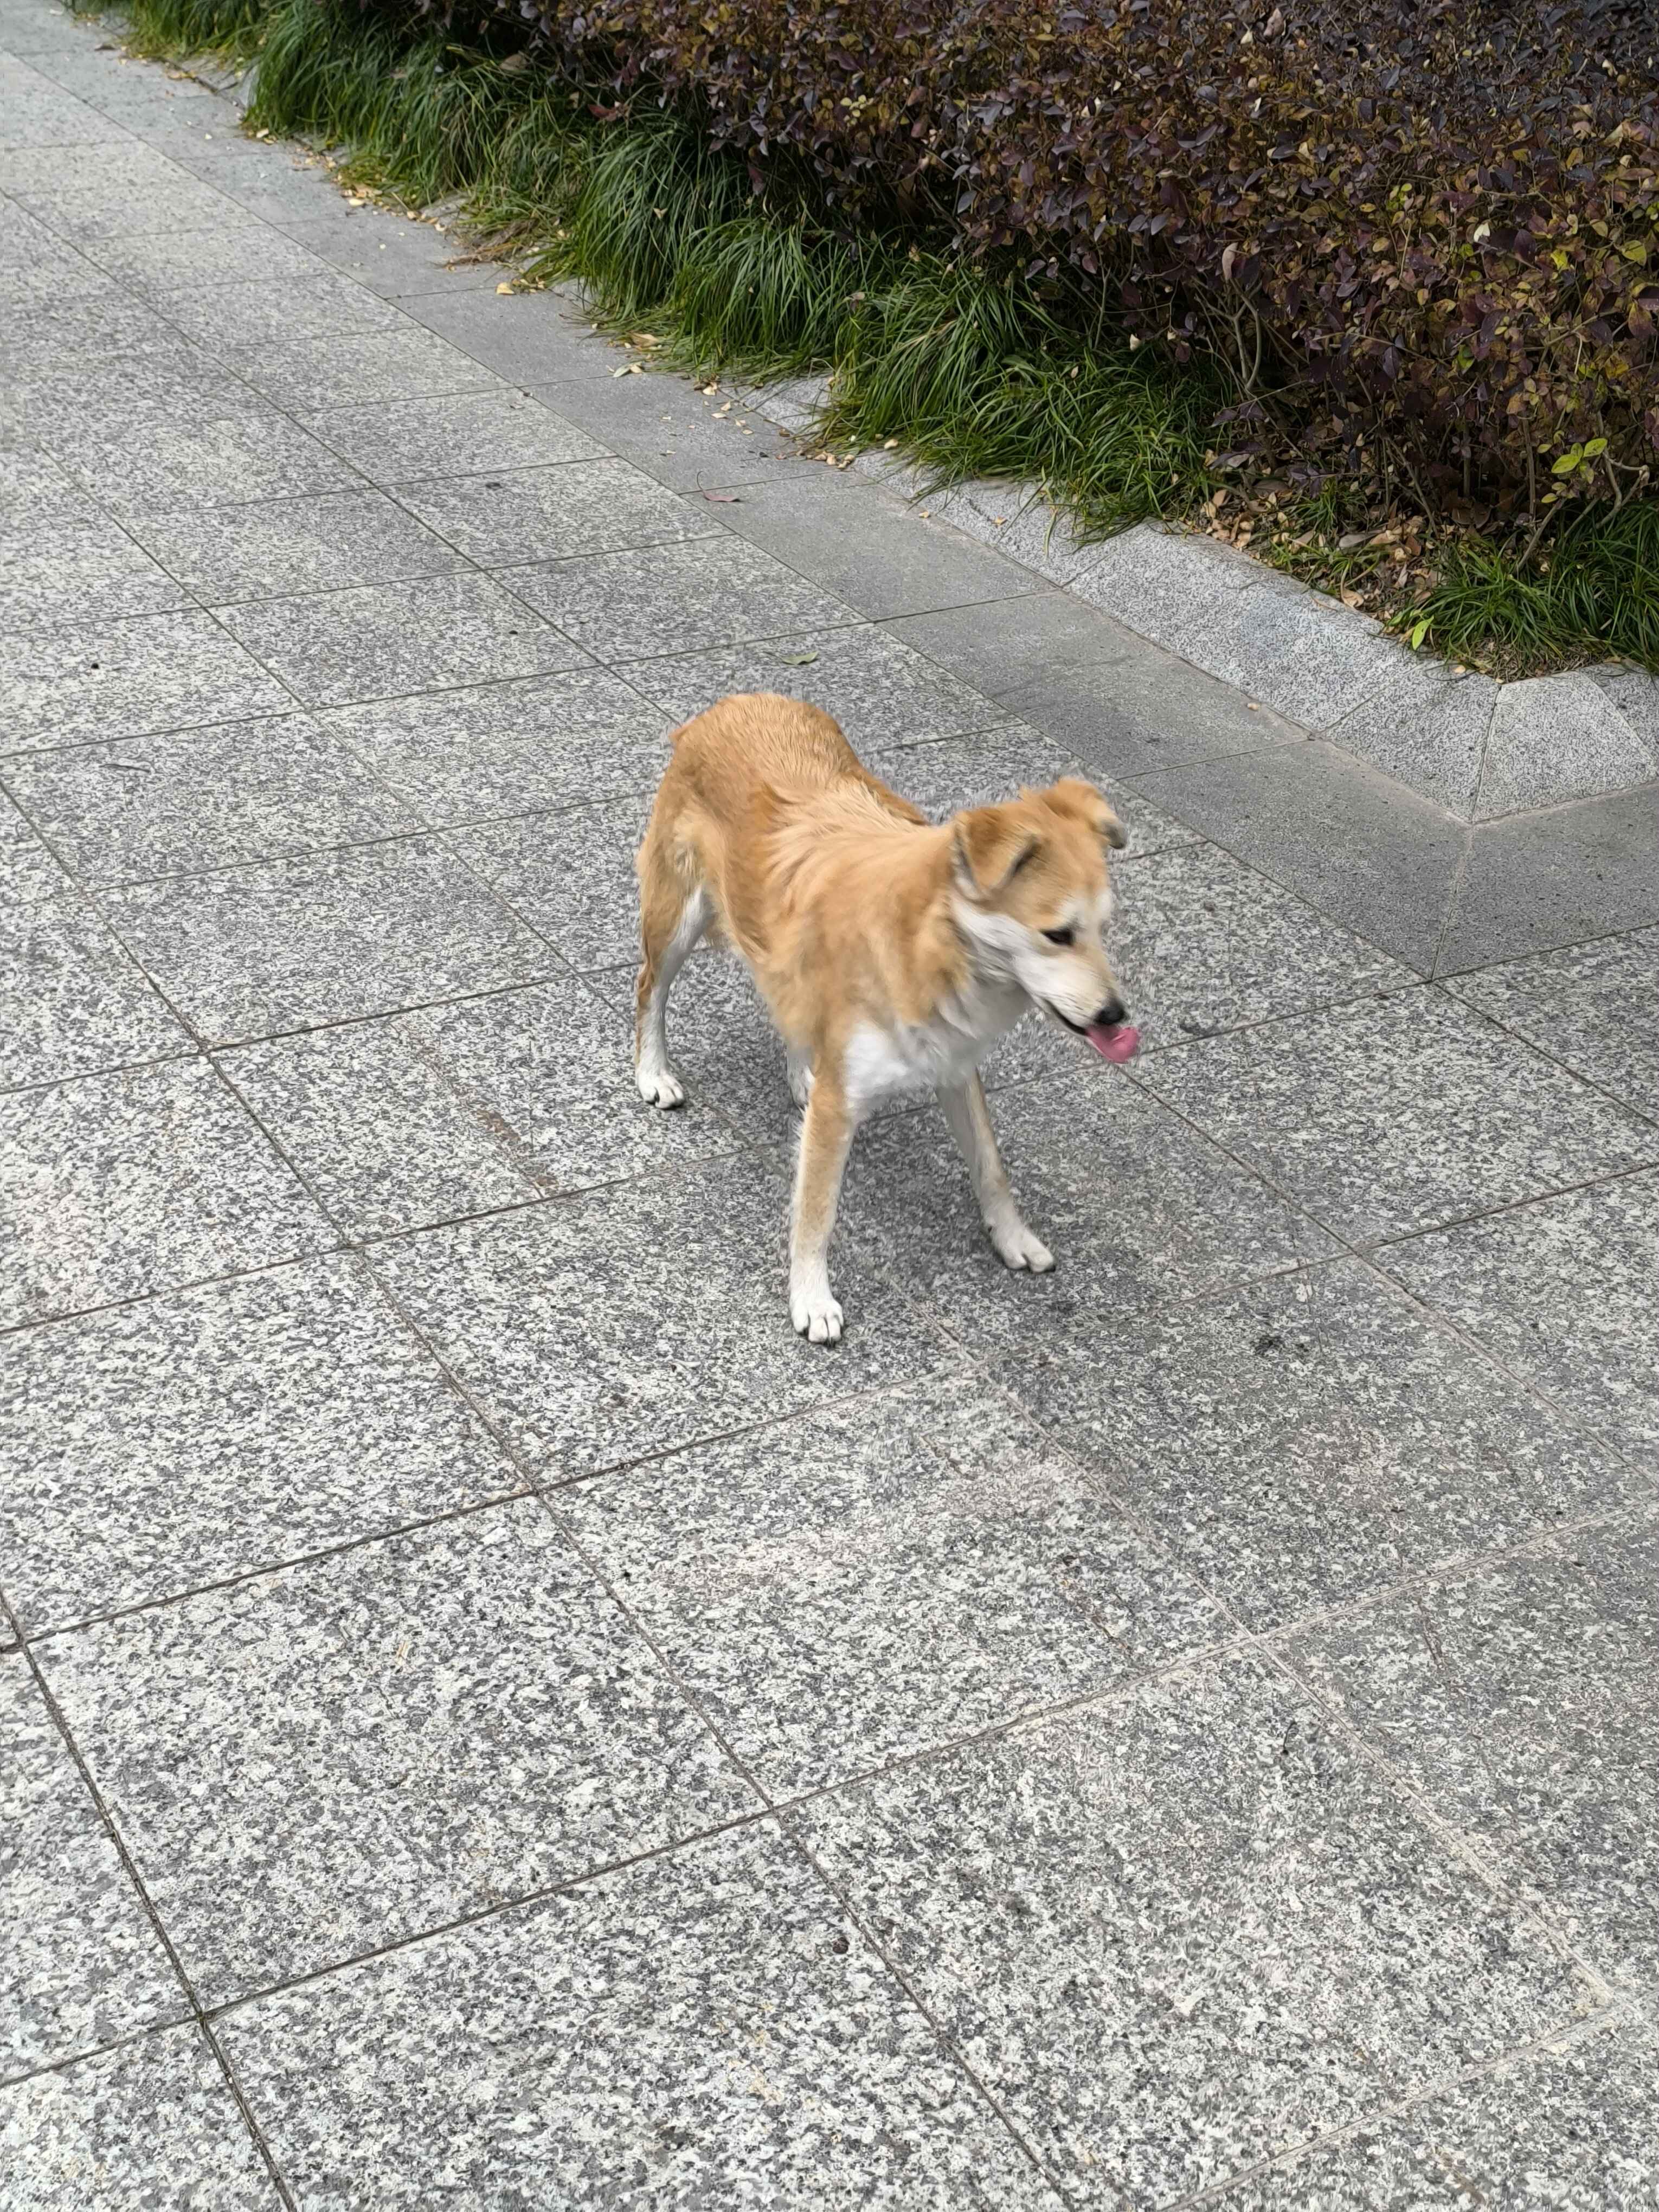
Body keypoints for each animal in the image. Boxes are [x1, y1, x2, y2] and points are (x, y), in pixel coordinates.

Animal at [633, 692, 1137, 1343]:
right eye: (1058, 934)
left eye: (1102, 929)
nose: (1116, 1015)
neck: (934, 941)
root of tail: (735, 701)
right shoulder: (841, 1107)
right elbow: (817, 1210)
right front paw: (812, 1297)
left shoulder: (955, 1064)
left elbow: (991, 1164)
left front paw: (1014, 1237)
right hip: (678, 913)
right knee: (650, 989)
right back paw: (653, 1071)